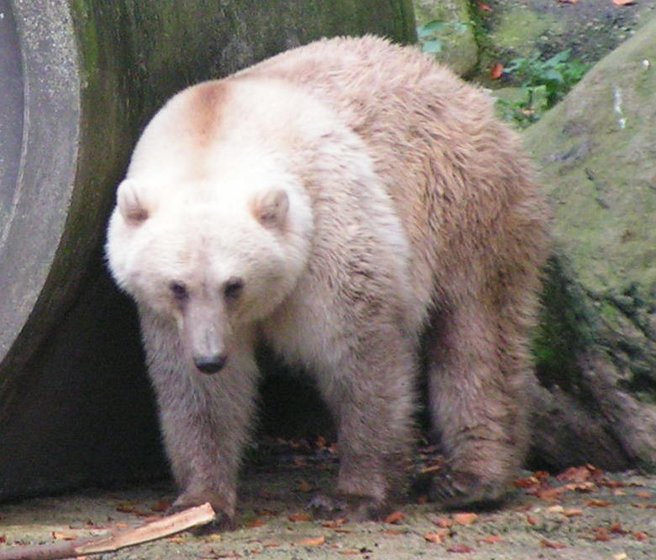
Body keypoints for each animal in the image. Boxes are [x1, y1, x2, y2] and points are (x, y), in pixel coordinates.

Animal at [106, 36, 550, 527]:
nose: (210, 357)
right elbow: (198, 393)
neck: (215, 128)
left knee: (477, 333)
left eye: (234, 285)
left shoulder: (328, 228)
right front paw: (201, 502)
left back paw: (472, 479)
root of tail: (462, 87)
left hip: (465, 201)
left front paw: (355, 495)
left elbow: (359, 356)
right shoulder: (166, 316)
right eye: (177, 286)